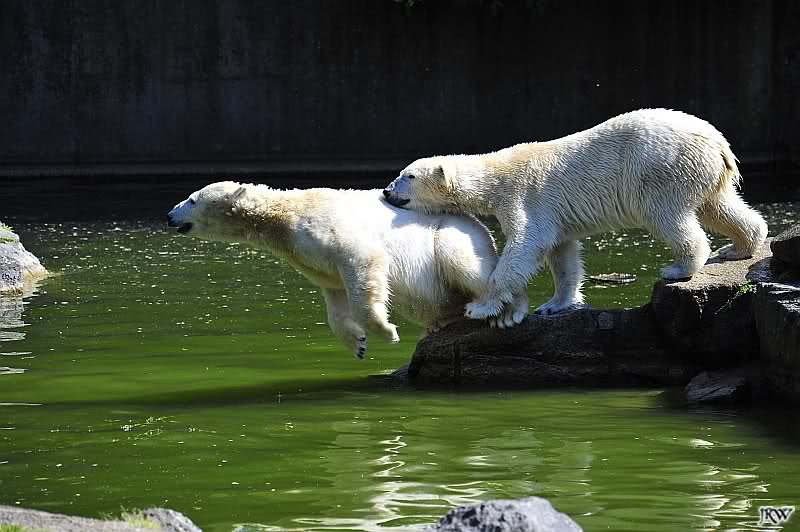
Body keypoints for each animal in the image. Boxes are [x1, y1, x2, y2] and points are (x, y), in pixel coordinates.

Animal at [166, 181, 528, 358]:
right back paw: (436, 326)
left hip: (452, 234)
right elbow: (334, 294)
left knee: (465, 264)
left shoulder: (327, 227)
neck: (285, 215)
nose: (169, 215)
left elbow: (363, 260)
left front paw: (386, 331)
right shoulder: (309, 257)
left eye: (193, 199)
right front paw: (357, 343)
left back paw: (506, 310)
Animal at [383, 108, 768, 319]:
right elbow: (561, 253)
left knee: (668, 216)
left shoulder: (525, 196)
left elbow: (525, 245)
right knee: (719, 205)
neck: (496, 174)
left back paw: (679, 267)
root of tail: (718, 143)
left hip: (660, 170)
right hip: (703, 173)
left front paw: (481, 306)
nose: (386, 191)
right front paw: (556, 304)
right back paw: (740, 246)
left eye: (407, 175)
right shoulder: (553, 214)